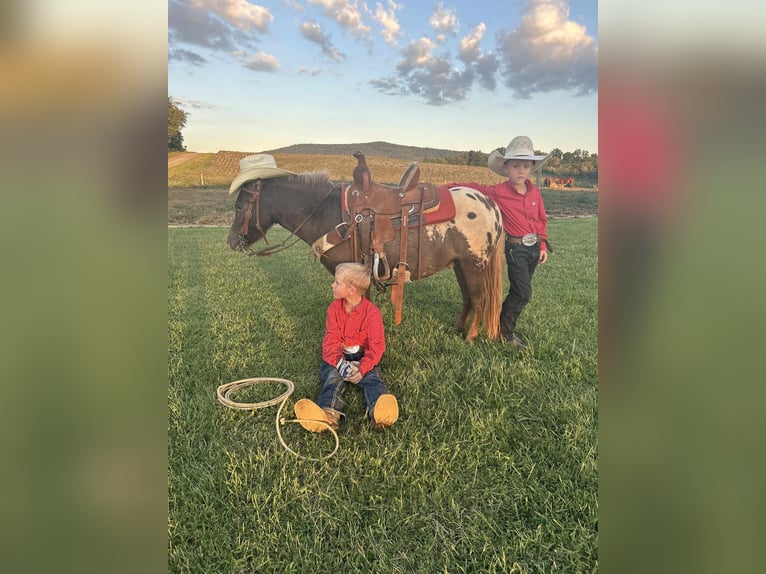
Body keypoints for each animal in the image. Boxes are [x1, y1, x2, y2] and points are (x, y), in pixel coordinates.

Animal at [226, 172, 505, 342]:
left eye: (239, 206)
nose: (230, 241)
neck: (325, 214)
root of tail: (490, 204)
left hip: (474, 265)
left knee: (479, 300)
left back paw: (469, 337)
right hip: (459, 265)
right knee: (467, 299)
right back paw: (456, 330)